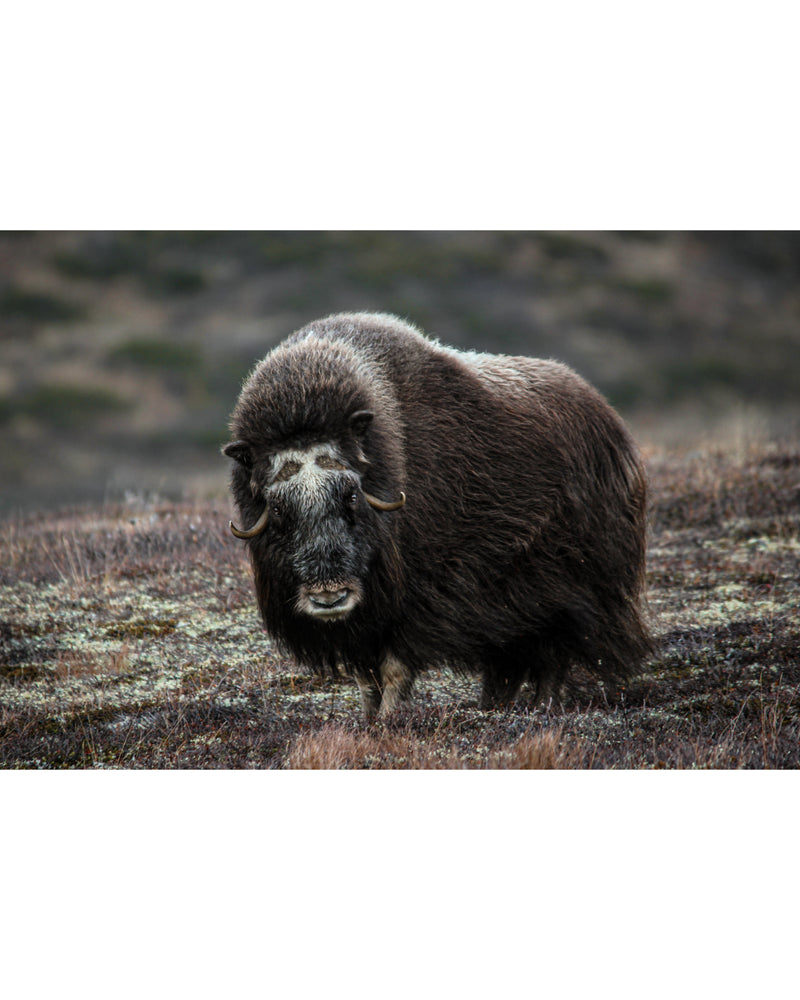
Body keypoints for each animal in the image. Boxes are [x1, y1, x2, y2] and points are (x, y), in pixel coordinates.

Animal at [223, 312, 651, 720]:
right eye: (279, 510)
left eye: (351, 496)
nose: (330, 596)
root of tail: (611, 421)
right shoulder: (364, 622)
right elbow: (365, 678)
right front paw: (368, 720)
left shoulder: (419, 600)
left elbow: (395, 667)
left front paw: (390, 720)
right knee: (511, 667)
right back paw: (495, 708)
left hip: (571, 591)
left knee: (554, 656)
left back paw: (541, 708)